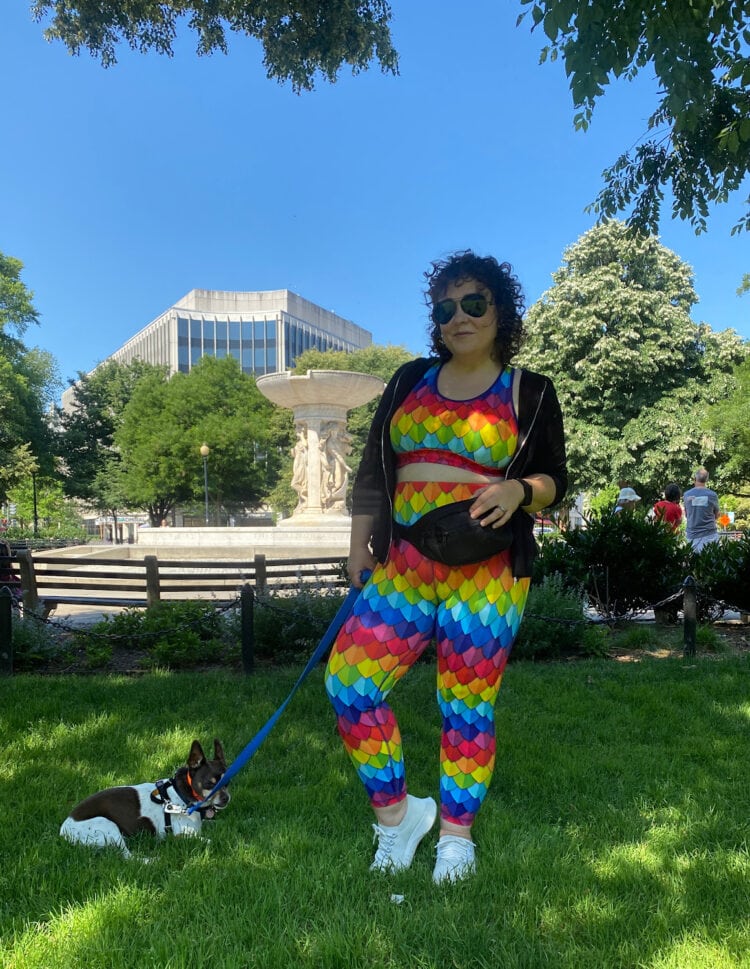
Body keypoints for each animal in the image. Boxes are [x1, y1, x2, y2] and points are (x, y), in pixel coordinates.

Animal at [60, 736, 231, 860]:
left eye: (227, 783)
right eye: (210, 783)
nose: (226, 798)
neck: (185, 796)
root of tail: (63, 832)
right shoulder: (179, 835)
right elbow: (211, 840)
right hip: (108, 826)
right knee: (128, 857)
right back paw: (151, 861)